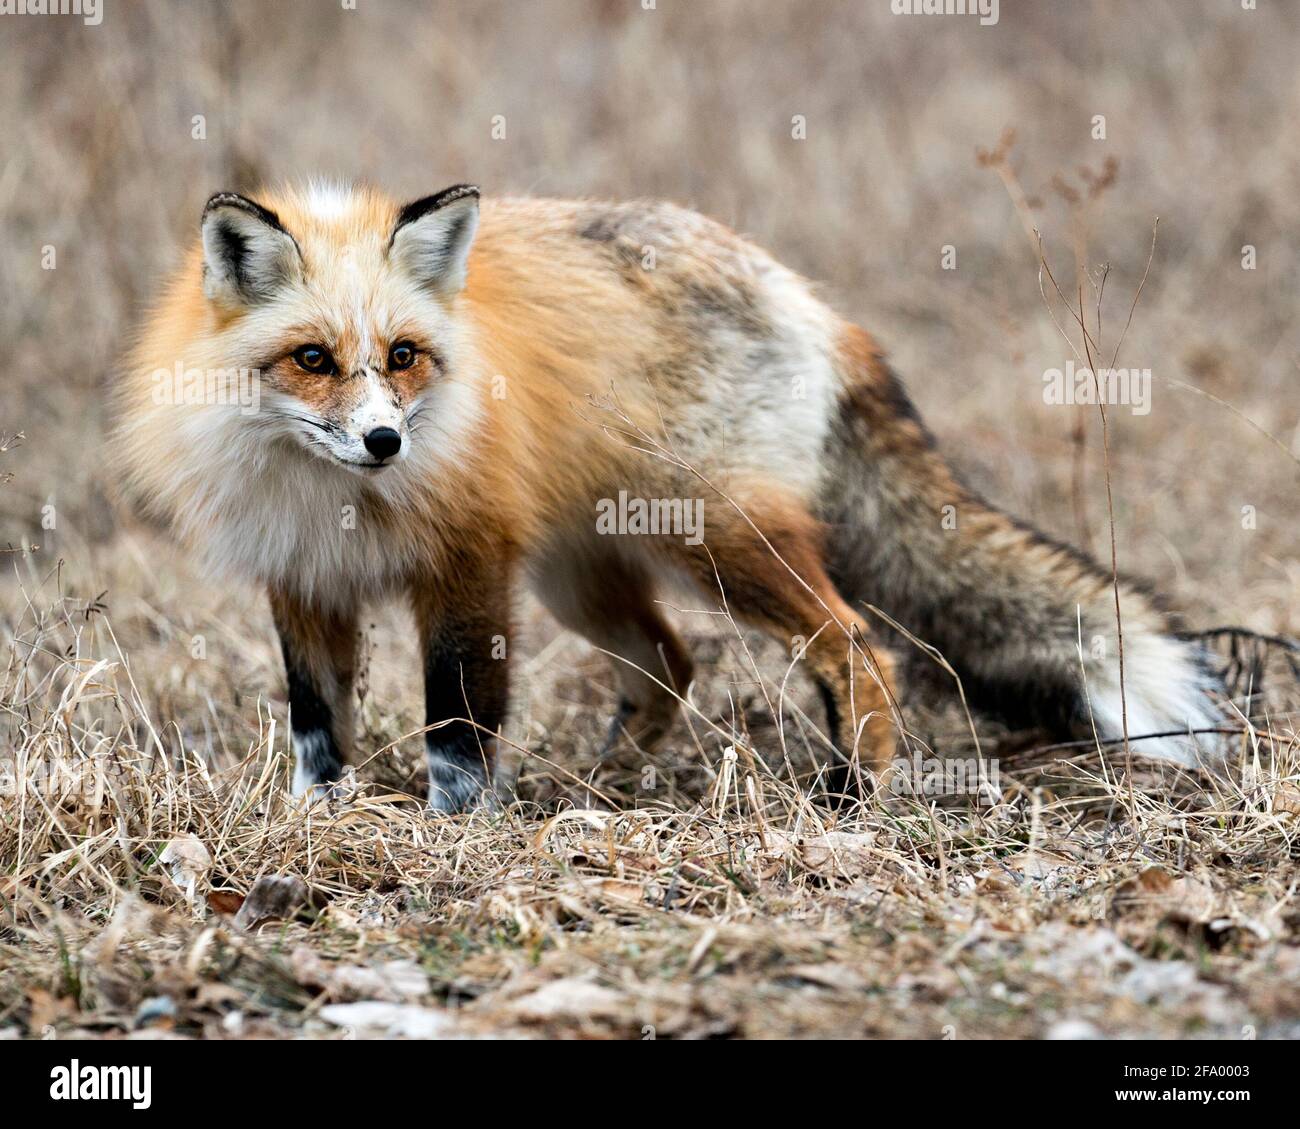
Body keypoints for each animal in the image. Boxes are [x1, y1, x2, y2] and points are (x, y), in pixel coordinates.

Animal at [116, 180, 1222, 806]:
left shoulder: (466, 570)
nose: (385, 441)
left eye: (402, 355)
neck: (337, 495)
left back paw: (854, 792)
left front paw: (451, 832)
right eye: (312, 358)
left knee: (855, 643)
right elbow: (318, 726)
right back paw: (602, 782)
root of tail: (811, 298)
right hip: (583, 577)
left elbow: (459, 727)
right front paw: (317, 821)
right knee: (671, 664)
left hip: (718, 544)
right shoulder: (303, 577)